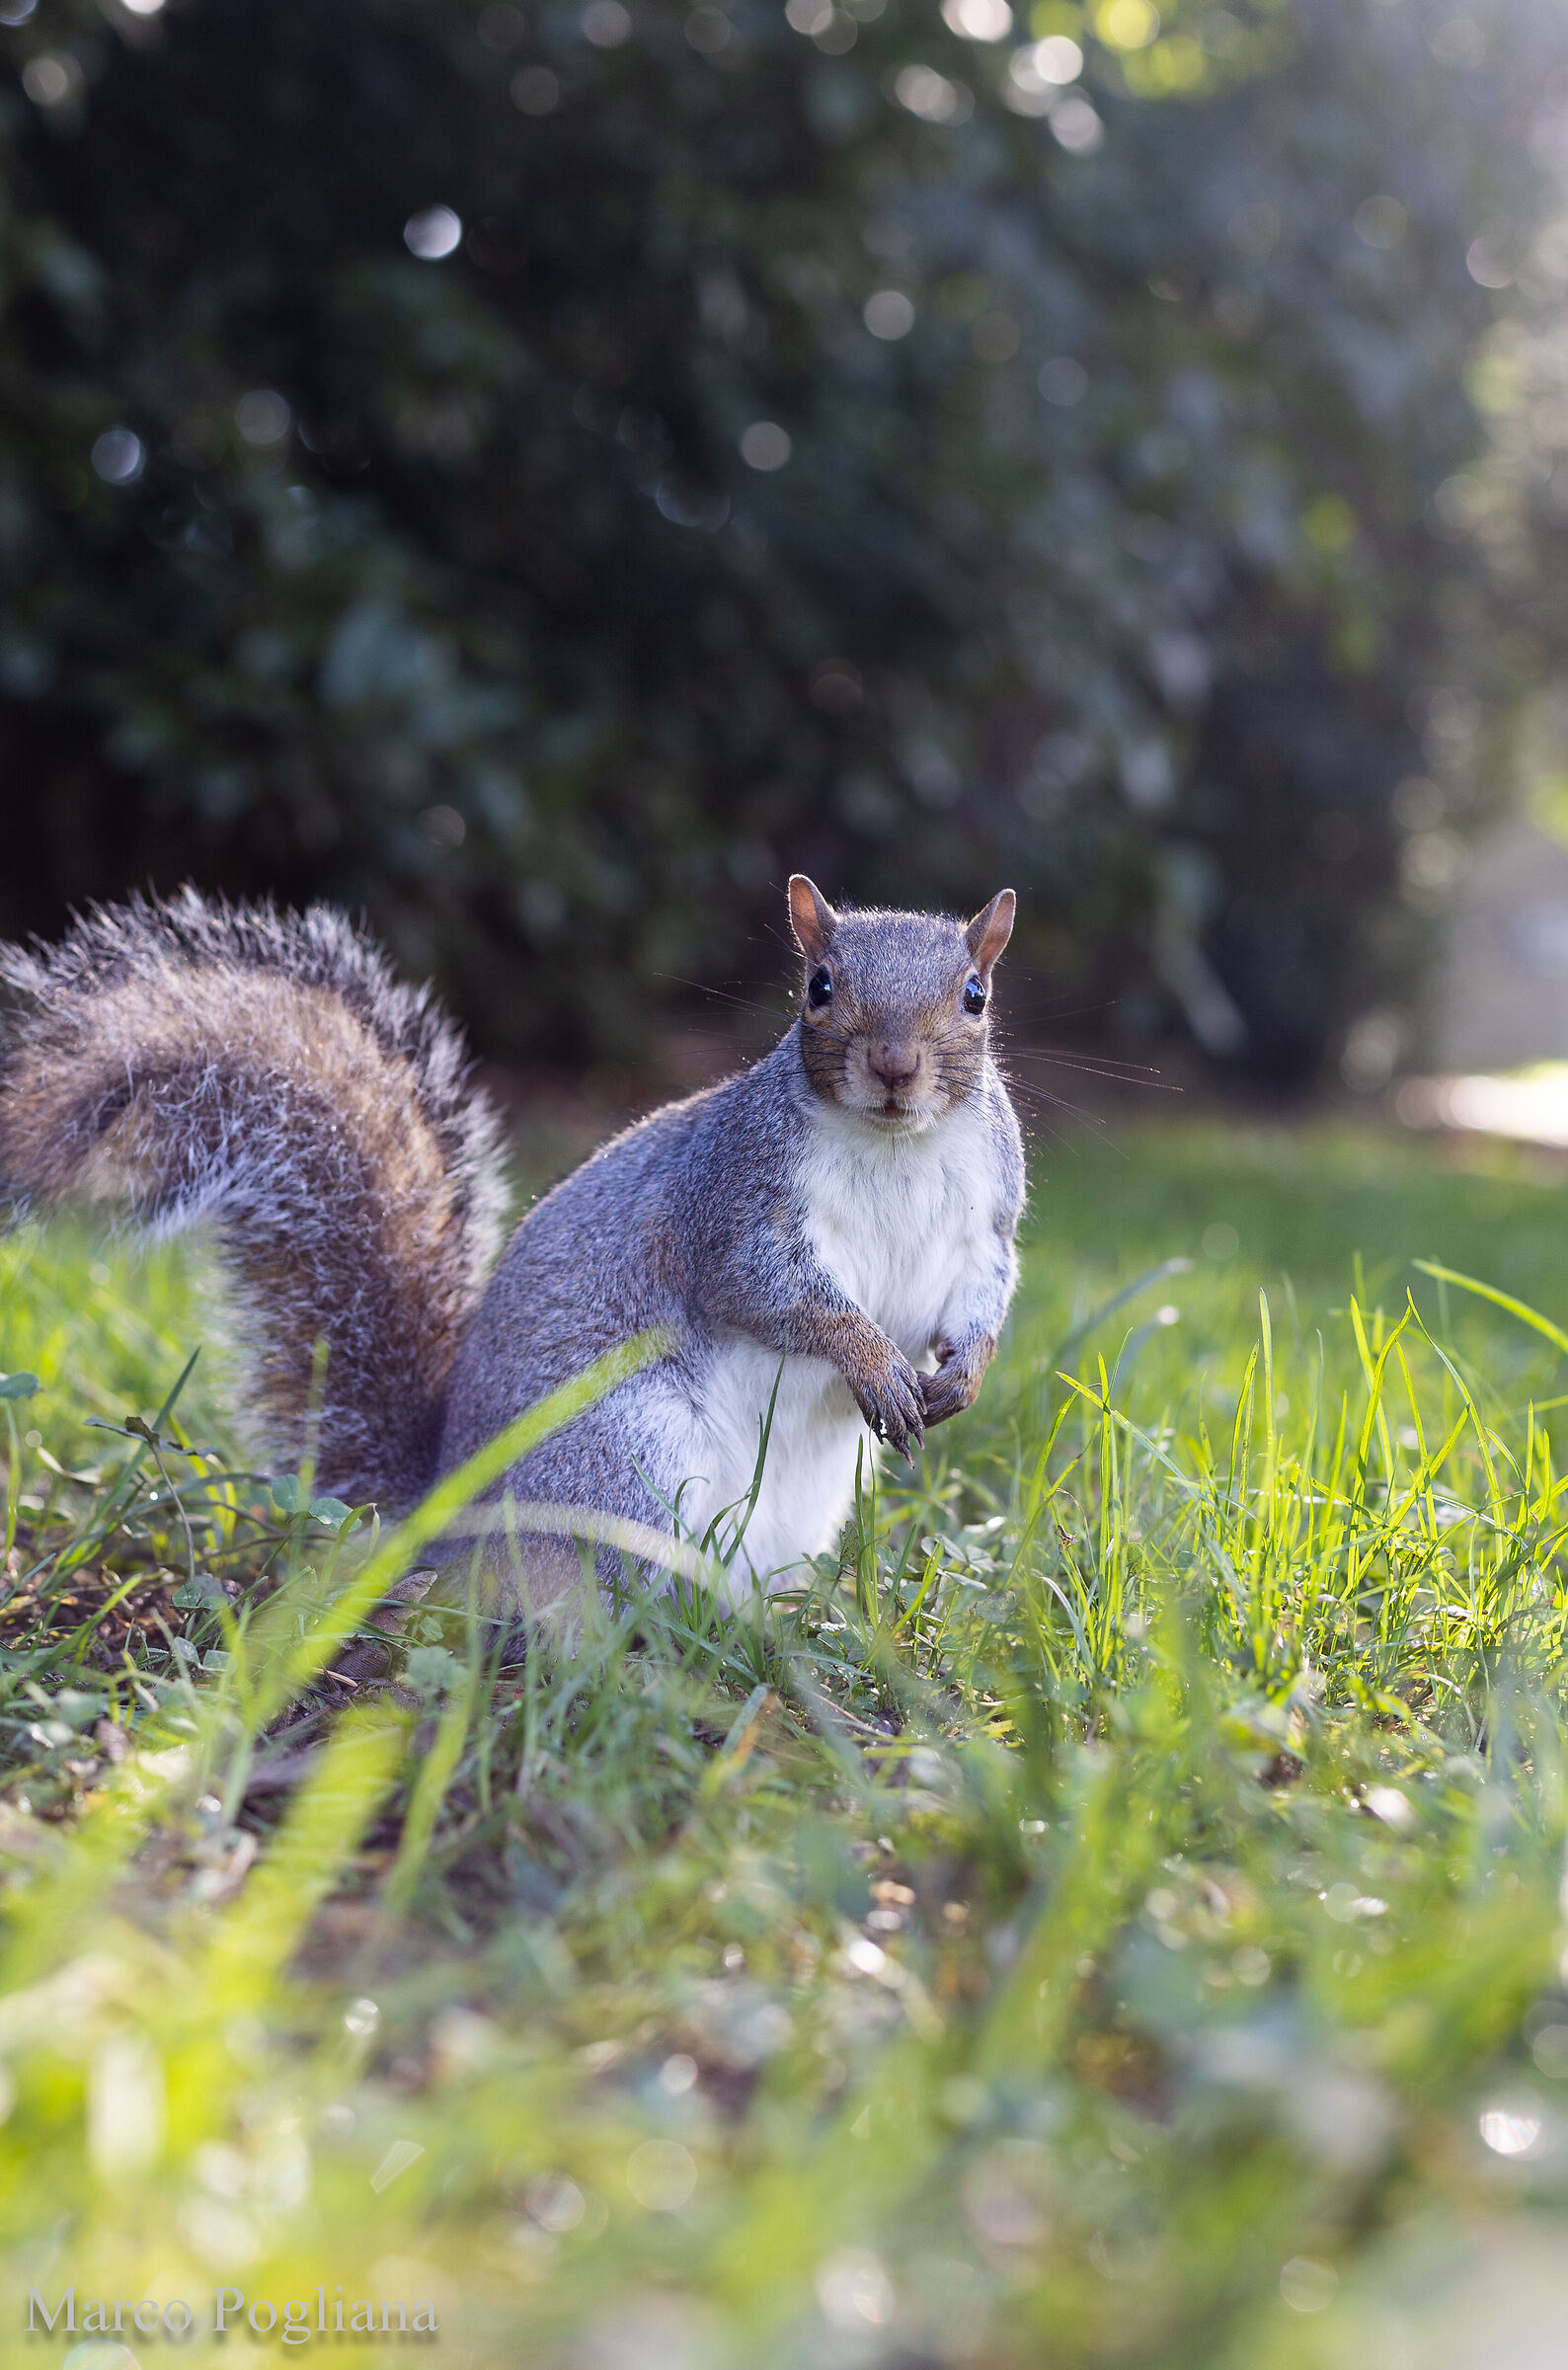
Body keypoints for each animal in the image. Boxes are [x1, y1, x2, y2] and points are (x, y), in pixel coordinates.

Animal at [0, 876, 1024, 1609]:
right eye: (818, 988)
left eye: (976, 996)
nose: (894, 1068)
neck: (896, 1145)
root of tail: (446, 1519)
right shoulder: (733, 1204)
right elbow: (770, 1293)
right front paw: (868, 1356)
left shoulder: (986, 1226)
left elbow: (981, 1296)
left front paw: (965, 1373)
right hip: (627, 1460)